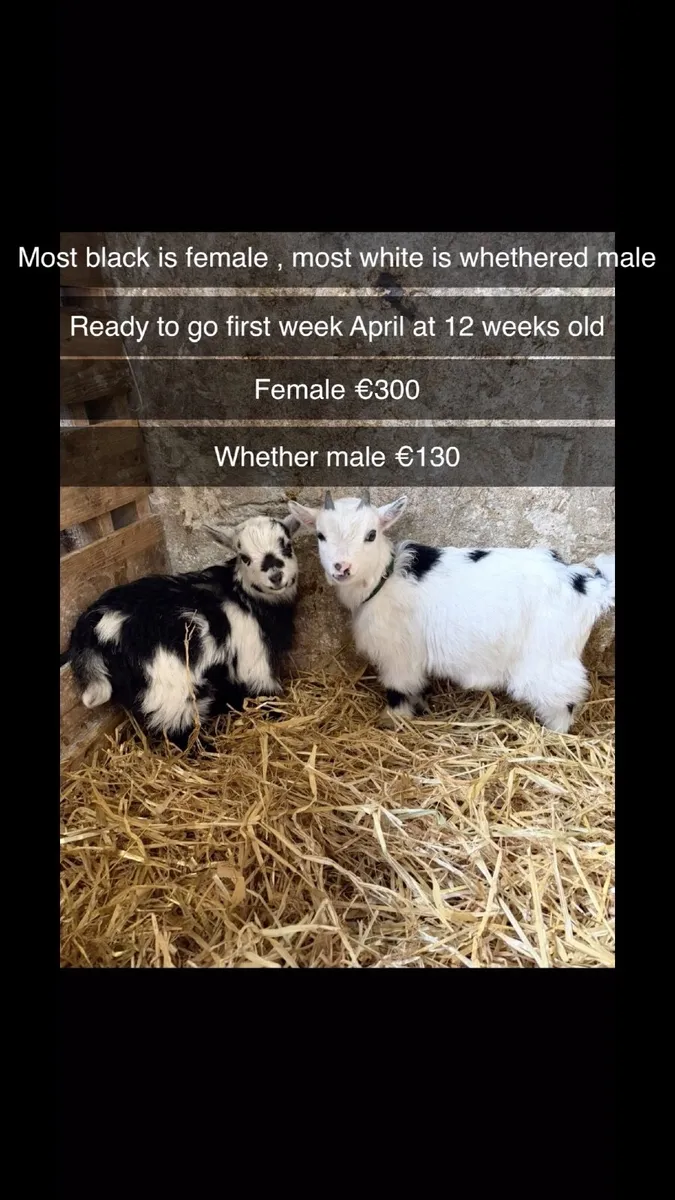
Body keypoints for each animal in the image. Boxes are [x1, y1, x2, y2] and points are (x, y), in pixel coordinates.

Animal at [62, 514, 300, 748]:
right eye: (245, 558)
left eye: (287, 546)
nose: (276, 576)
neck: (243, 597)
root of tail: (99, 620)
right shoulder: (252, 656)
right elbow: (262, 689)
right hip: (168, 683)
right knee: (177, 726)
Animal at [288, 491, 615, 733]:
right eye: (320, 535)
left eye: (371, 534)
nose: (341, 568)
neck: (383, 578)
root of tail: (587, 584)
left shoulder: (398, 655)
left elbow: (399, 689)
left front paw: (392, 720)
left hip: (548, 659)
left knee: (564, 700)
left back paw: (554, 734)